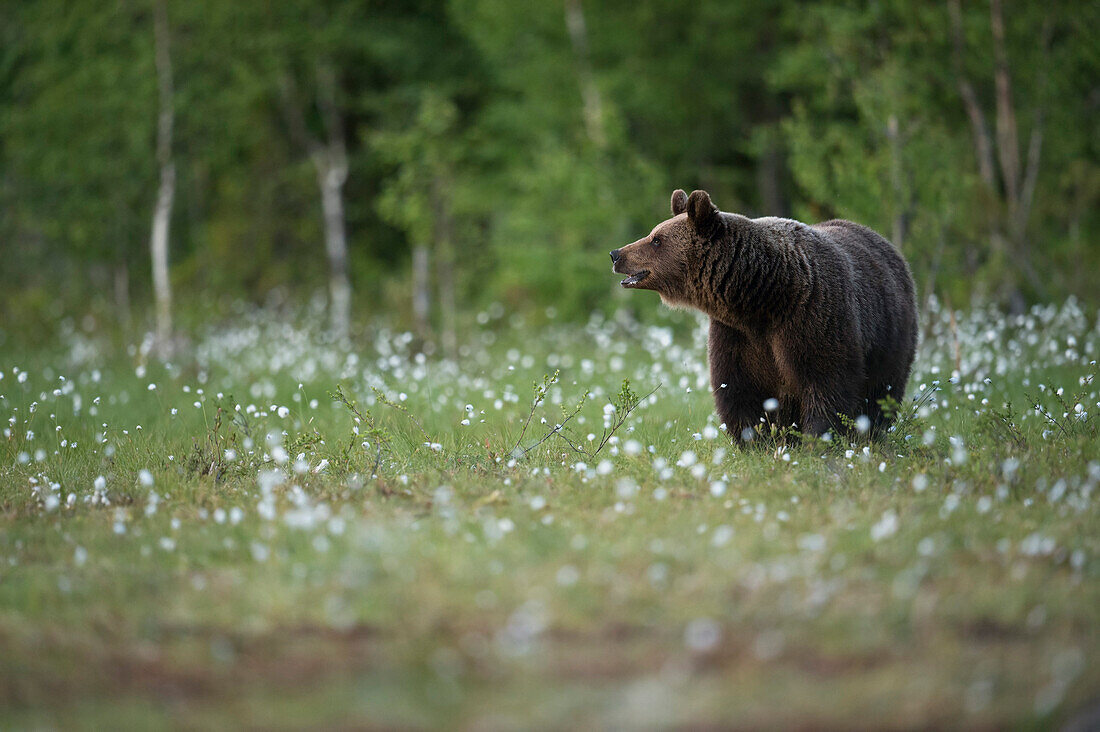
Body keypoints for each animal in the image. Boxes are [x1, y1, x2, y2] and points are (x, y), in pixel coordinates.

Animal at [611, 189, 919, 440]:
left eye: (657, 240)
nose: (616, 254)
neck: (762, 295)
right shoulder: (736, 336)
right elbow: (739, 390)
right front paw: (755, 441)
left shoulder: (814, 316)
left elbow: (827, 381)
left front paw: (818, 439)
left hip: (890, 337)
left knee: (881, 392)